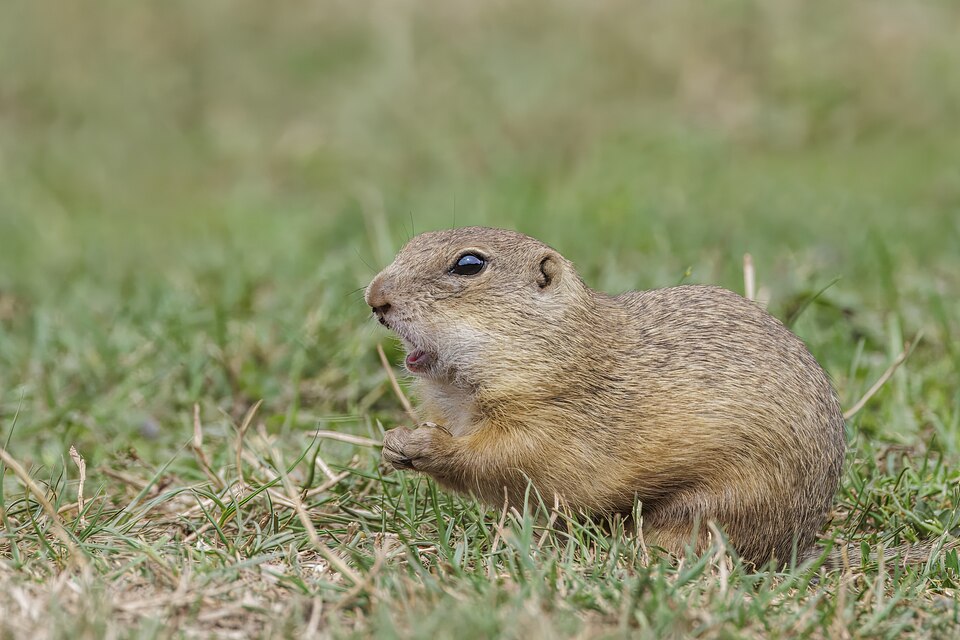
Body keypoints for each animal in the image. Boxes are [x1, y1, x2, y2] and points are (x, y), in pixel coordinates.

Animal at [364, 226, 937, 568]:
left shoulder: (555, 421)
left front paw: (424, 445)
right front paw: (394, 440)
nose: (374, 297)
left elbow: (508, 461)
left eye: (468, 264)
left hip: (715, 505)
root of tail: (801, 542)